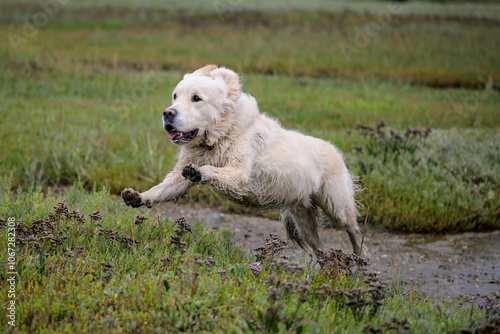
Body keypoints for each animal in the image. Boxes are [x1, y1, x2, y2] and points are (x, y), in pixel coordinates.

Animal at [123, 66, 370, 258]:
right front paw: (138, 196)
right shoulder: (178, 178)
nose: (168, 113)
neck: (219, 136)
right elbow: (162, 188)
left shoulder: (239, 172)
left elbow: (211, 169)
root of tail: (336, 152)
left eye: (196, 98)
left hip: (336, 205)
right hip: (302, 217)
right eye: (175, 96)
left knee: (354, 230)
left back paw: (360, 259)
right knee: (318, 249)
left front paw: (200, 172)